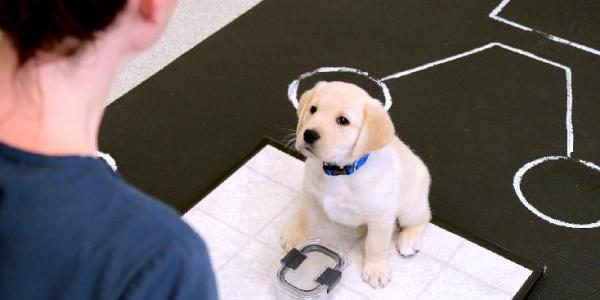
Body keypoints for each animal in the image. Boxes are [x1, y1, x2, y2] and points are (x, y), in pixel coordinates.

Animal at [282, 81, 432, 288]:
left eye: (343, 120)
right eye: (313, 109)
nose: (309, 134)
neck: (339, 171)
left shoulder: (381, 216)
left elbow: (376, 245)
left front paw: (376, 270)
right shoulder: (310, 195)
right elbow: (305, 219)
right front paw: (296, 237)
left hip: (410, 207)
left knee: (423, 218)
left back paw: (408, 240)